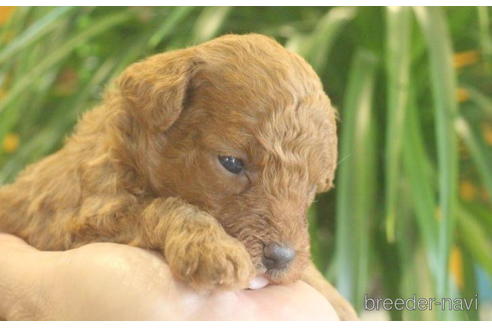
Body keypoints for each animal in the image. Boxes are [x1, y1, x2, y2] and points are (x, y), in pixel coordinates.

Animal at [0, 34, 356, 320]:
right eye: (231, 163)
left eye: (314, 188)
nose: (281, 258)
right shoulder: (81, 219)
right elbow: (165, 206)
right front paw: (212, 248)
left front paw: (337, 301)